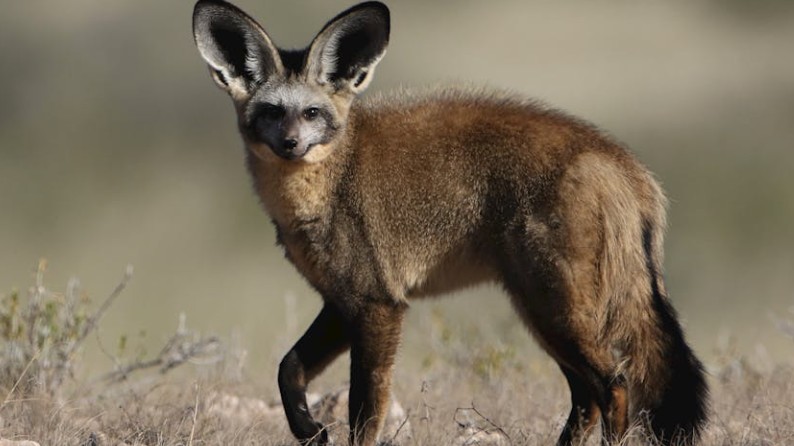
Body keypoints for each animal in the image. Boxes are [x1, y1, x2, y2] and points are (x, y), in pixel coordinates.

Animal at [191, 1, 708, 445]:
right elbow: (288, 370)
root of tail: (623, 162)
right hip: (543, 313)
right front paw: (309, 430)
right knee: (587, 397)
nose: (291, 145)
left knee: (613, 385)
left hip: (556, 311)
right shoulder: (343, 302)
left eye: (312, 112)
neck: (331, 183)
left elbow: (365, 412)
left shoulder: (379, 304)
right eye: (272, 112)